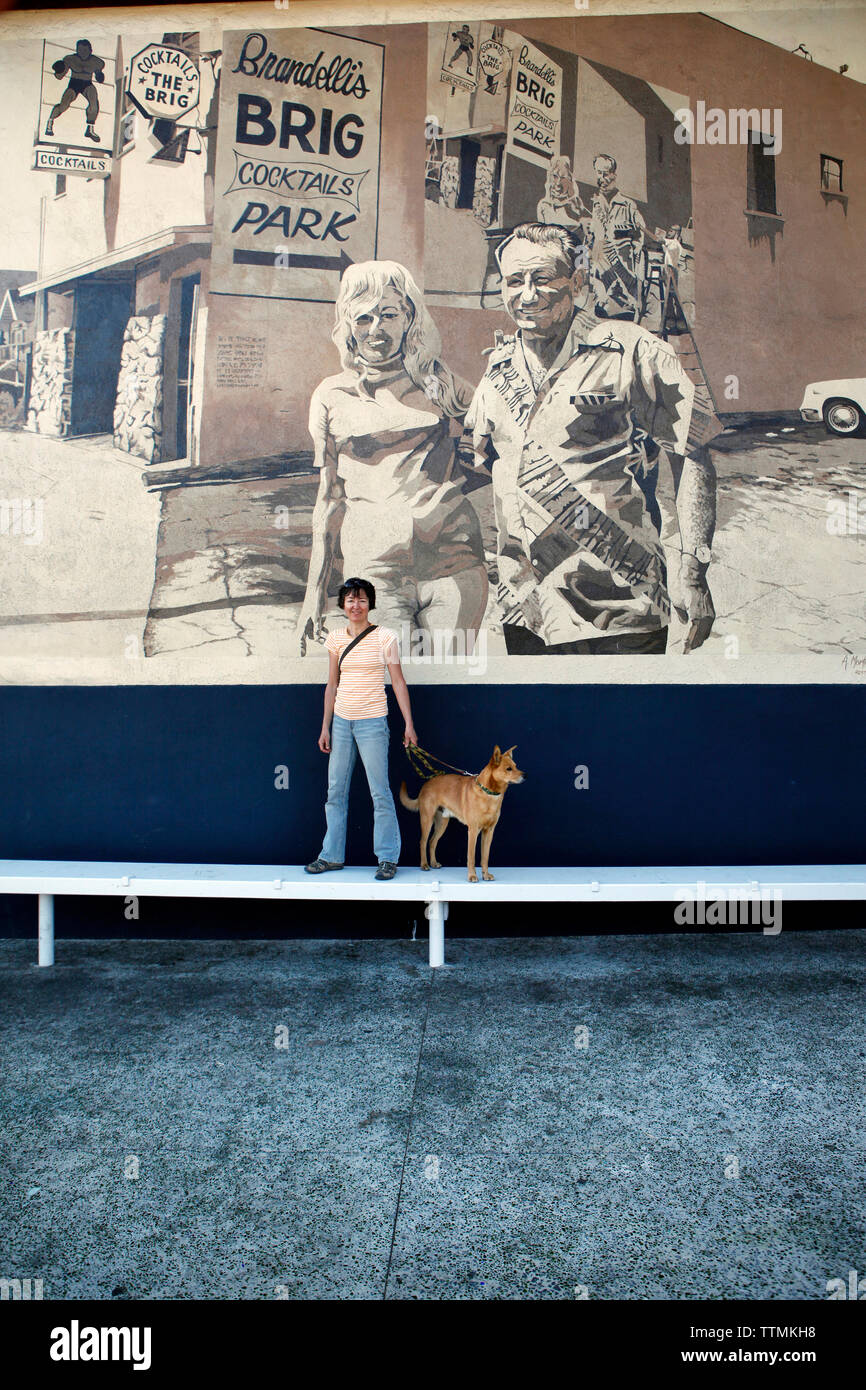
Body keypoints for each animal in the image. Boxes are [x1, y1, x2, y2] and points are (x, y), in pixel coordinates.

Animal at [397, 745, 522, 884]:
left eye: (516, 766)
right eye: (509, 769)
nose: (525, 775)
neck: (488, 794)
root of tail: (426, 785)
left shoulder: (489, 831)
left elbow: (485, 857)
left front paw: (485, 875)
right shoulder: (473, 831)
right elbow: (471, 857)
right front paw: (472, 876)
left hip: (442, 823)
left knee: (432, 842)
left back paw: (434, 863)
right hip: (427, 820)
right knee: (423, 842)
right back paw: (424, 864)